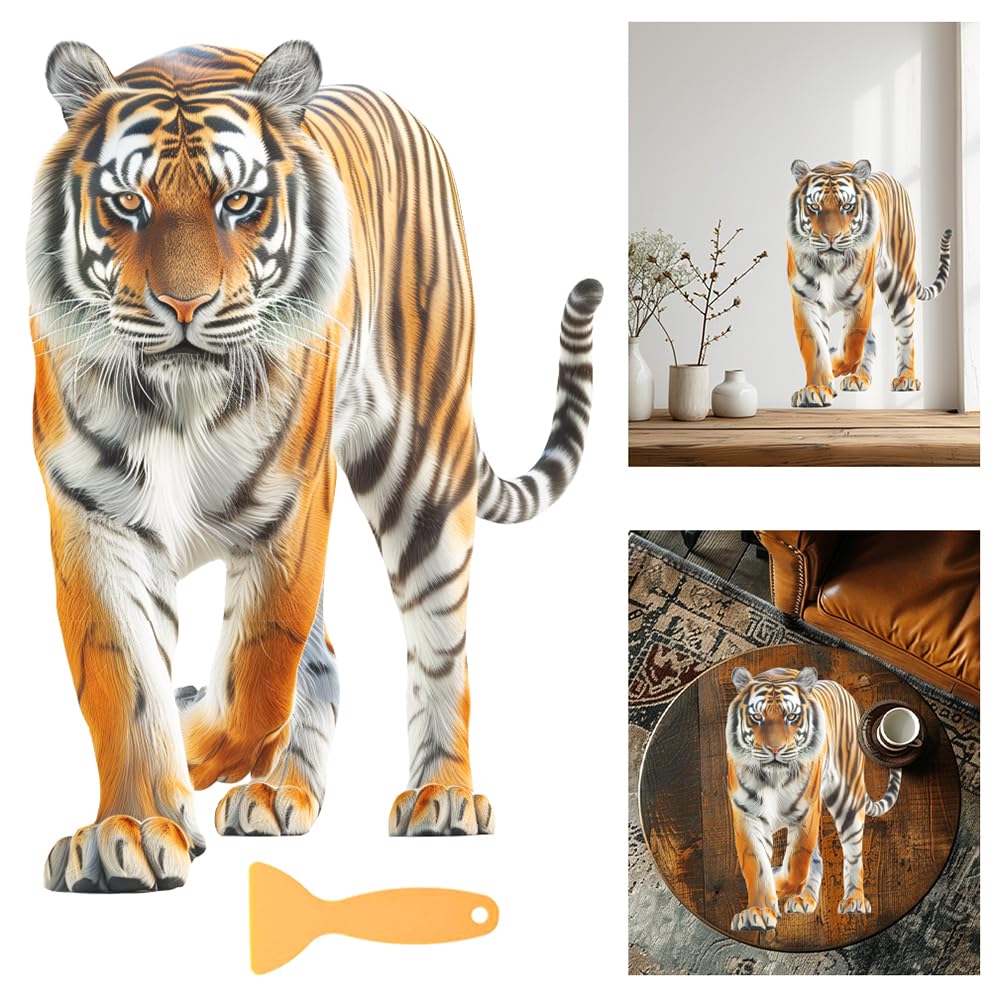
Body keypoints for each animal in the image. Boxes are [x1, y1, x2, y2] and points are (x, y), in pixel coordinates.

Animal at [29, 40, 602, 893]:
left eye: (238, 202)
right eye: (127, 203)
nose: (184, 308)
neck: (177, 402)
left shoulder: (291, 507)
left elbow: (259, 676)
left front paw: (193, 743)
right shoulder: (93, 517)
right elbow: (124, 689)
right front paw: (127, 829)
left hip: (422, 473)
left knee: (441, 647)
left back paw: (441, 796)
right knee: (326, 660)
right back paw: (279, 794)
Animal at [725, 666, 901, 931]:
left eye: (791, 716)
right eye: (756, 717)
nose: (775, 749)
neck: (772, 779)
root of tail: (836, 685)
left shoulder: (805, 813)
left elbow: (797, 867)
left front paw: (776, 883)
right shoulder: (748, 815)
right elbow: (758, 868)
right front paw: (759, 911)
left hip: (847, 798)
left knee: (852, 854)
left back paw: (854, 901)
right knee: (817, 859)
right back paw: (803, 899)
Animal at [786, 159, 951, 407]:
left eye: (846, 206)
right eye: (814, 207)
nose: (831, 237)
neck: (829, 265)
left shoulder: (861, 297)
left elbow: (852, 346)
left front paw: (833, 364)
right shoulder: (805, 299)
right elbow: (815, 348)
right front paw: (816, 388)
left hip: (899, 285)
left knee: (906, 335)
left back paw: (906, 379)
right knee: (872, 339)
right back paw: (858, 378)